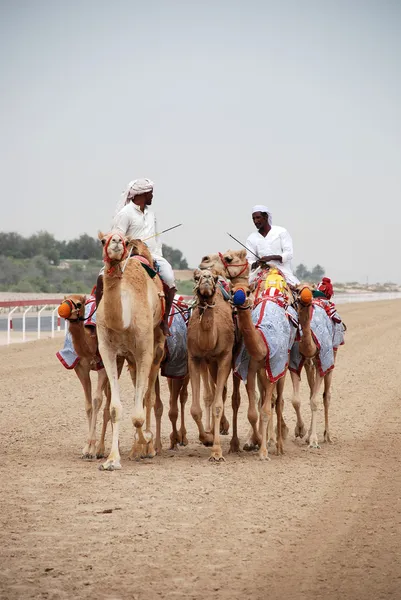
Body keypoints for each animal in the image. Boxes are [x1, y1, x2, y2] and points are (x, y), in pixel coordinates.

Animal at [94, 232, 165, 472]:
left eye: (123, 241)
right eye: (102, 239)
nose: (116, 241)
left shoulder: (145, 350)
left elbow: (139, 413)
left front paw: (147, 443)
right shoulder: (107, 350)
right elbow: (116, 408)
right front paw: (111, 460)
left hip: (156, 348)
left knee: (148, 396)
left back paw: (147, 446)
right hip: (128, 359)